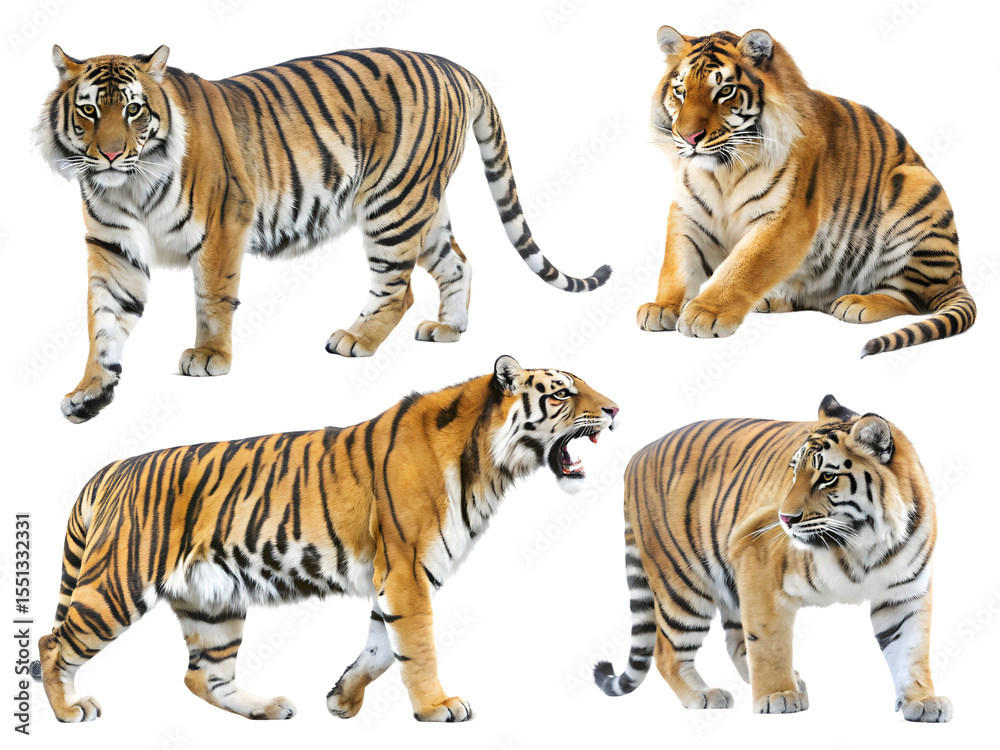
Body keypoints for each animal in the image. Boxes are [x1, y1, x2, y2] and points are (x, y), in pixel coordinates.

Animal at [32, 356, 618, 723]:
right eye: (563, 393)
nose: (615, 409)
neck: (487, 467)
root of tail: (109, 470)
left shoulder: (398, 577)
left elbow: (383, 649)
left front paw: (341, 699)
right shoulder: (406, 570)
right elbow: (419, 647)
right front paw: (437, 707)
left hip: (213, 603)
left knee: (203, 677)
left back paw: (267, 708)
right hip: (116, 587)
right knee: (52, 643)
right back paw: (69, 712)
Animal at [35, 46, 612, 423]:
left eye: (134, 110)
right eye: (89, 110)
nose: (111, 154)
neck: (129, 185)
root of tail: (454, 66)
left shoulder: (223, 224)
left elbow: (212, 298)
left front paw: (209, 357)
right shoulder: (112, 248)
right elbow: (104, 320)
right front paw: (90, 391)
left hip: (393, 203)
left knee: (398, 288)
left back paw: (356, 339)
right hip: (424, 208)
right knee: (459, 263)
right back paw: (448, 328)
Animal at [594, 395, 951, 722]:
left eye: (827, 477)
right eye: (794, 471)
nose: (784, 518)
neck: (865, 541)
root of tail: (636, 456)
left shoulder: (905, 593)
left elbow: (911, 649)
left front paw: (922, 701)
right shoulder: (758, 565)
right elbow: (769, 642)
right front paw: (778, 696)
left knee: (735, 641)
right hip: (683, 585)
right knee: (667, 651)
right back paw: (704, 696)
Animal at [636, 27, 976, 357]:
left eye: (724, 91)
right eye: (680, 91)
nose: (688, 137)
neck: (722, 172)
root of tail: (957, 277)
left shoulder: (783, 220)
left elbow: (743, 267)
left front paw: (705, 313)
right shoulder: (687, 215)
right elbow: (676, 266)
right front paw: (661, 307)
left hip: (913, 187)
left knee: (910, 299)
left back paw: (857, 303)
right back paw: (773, 300)